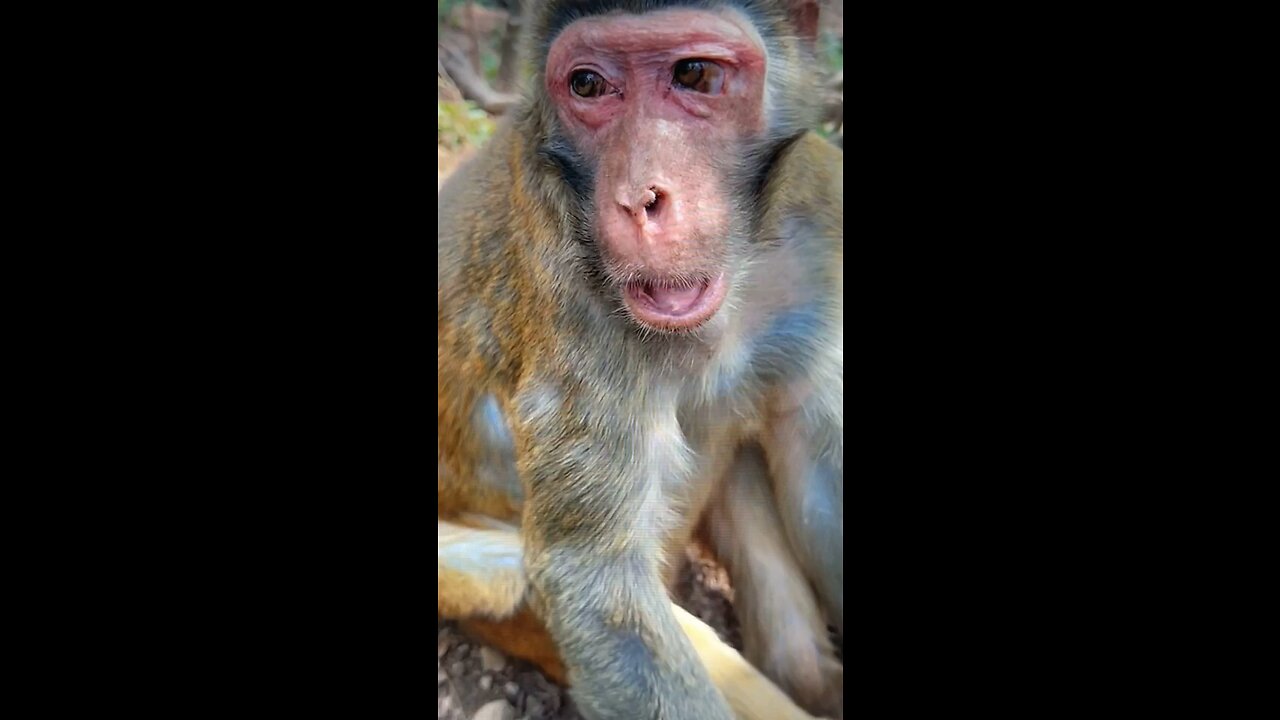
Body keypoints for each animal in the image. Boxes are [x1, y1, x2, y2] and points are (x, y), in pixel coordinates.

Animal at [435, 0, 844, 712]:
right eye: (589, 85)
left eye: (696, 75)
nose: (639, 199)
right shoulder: (565, 283)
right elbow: (596, 582)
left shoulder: (821, 215)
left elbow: (820, 469)